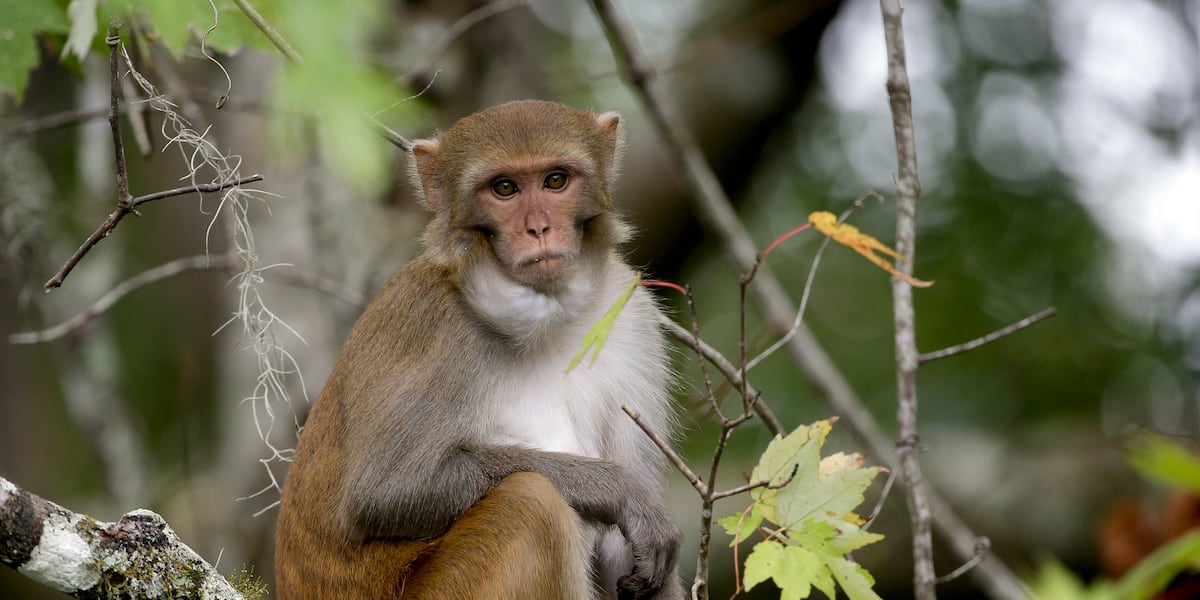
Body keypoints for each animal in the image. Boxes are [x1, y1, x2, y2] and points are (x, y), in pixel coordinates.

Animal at [274, 100, 683, 599]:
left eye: (555, 180)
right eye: (504, 188)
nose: (538, 228)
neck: (549, 316)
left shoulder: (632, 317)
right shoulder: (435, 327)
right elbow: (385, 492)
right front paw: (619, 490)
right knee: (531, 502)